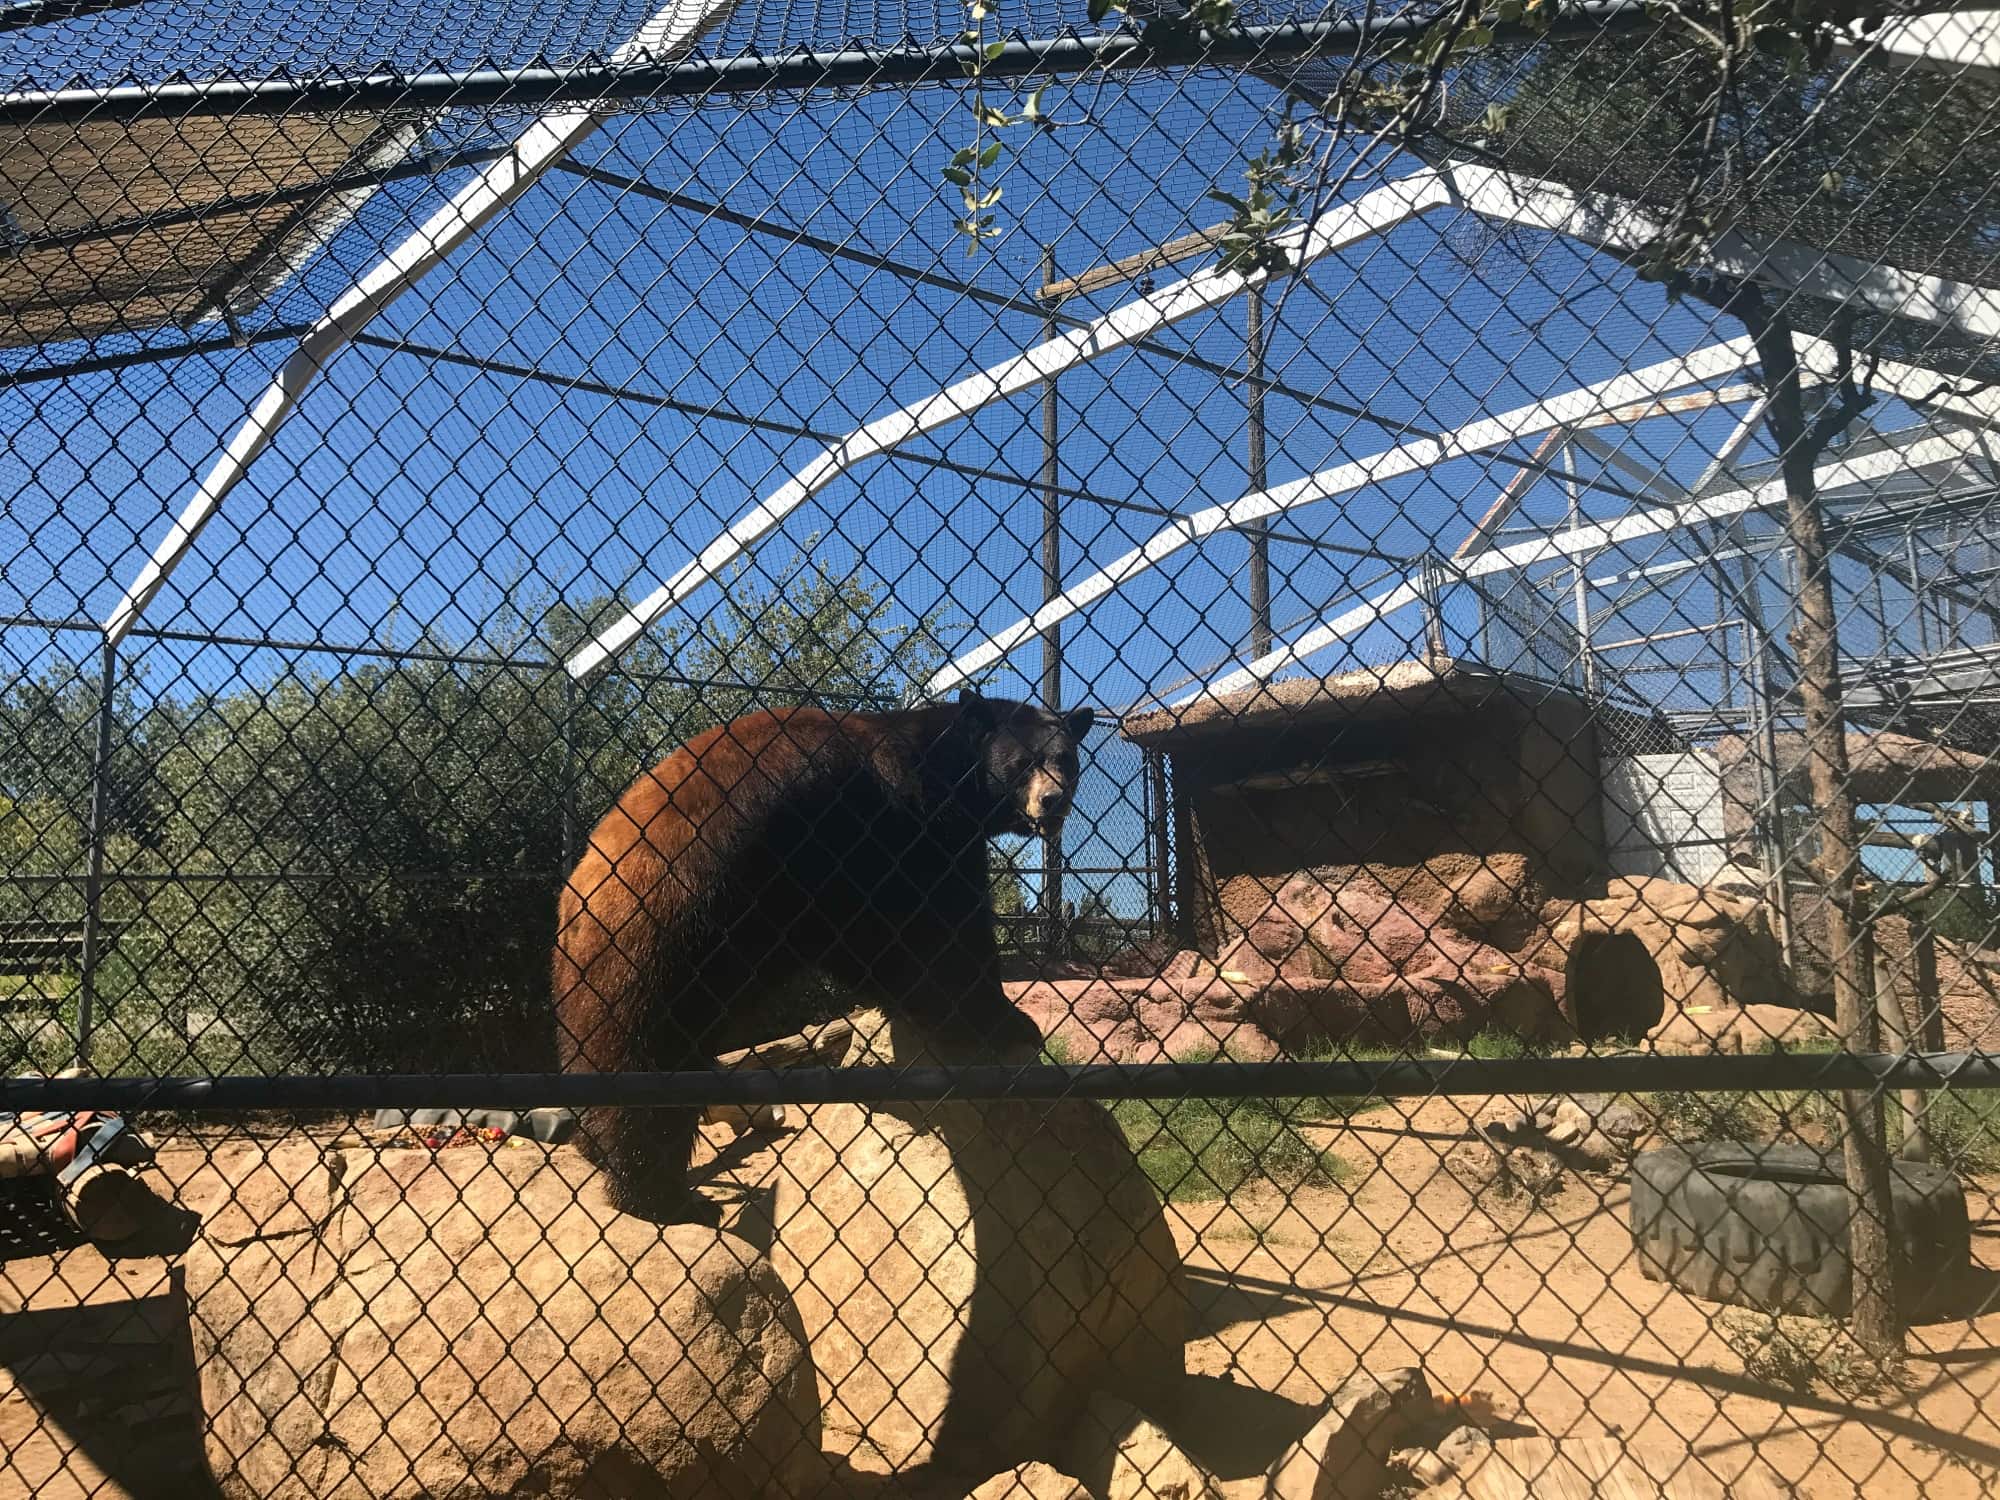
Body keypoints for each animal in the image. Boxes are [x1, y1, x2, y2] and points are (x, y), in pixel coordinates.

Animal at [552, 692, 1096, 1224]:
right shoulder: (889, 830)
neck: (941, 773)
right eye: (1022, 762)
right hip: (659, 949)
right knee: (650, 1074)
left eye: (1067, 759)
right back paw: (661, 1196)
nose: (1053, 800)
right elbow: (931, 932)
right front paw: (1005, 1020)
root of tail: (571, 907)